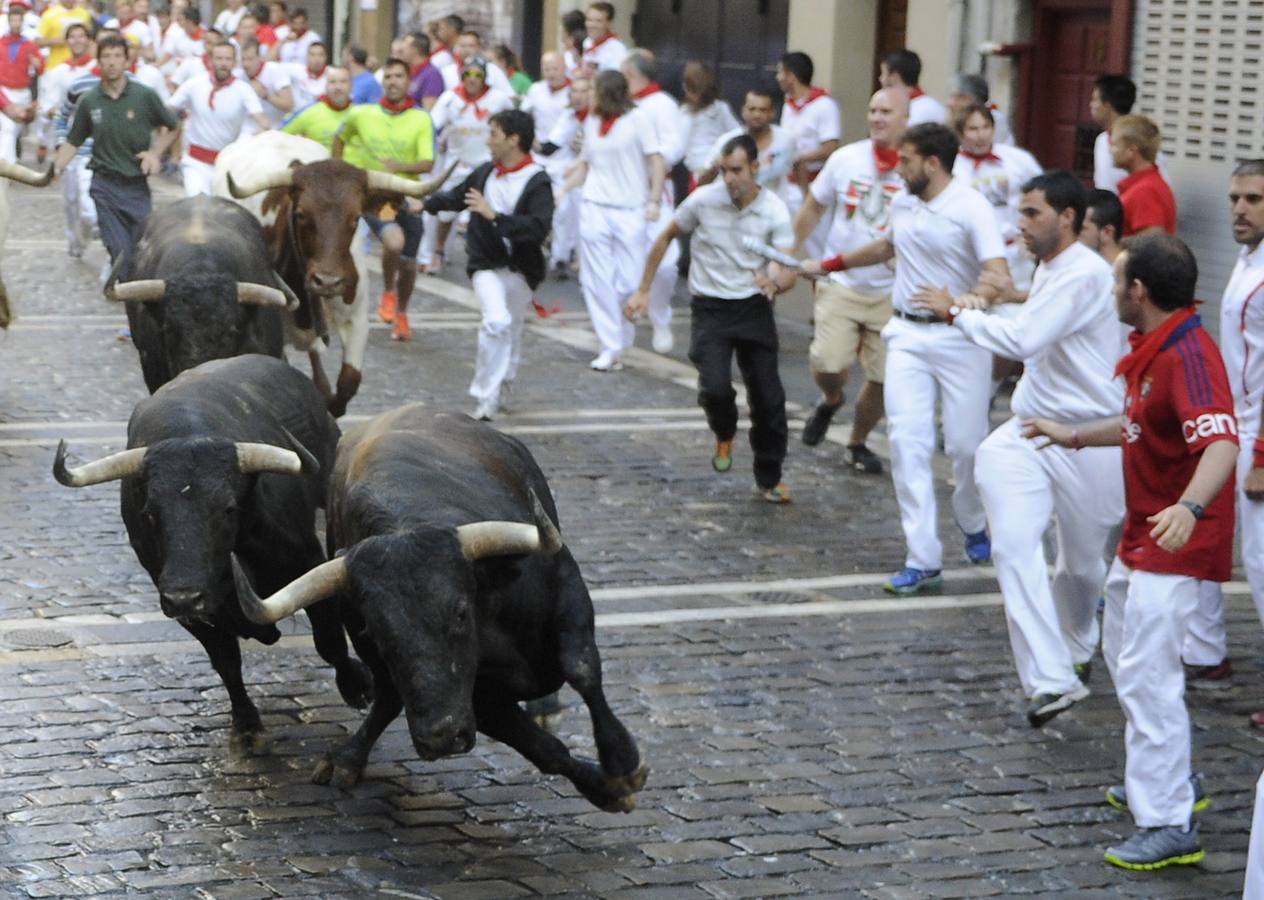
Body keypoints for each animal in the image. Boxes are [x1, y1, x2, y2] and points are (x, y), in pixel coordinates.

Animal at [54, 353, 369, 753]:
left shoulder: (307, 562)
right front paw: (247, 726)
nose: (184, 596)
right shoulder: (191, 610)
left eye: (228, 508)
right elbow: (226, 662)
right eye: (150, 512)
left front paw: (357, 684)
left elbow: (328, 638)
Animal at [217, 130, 449, 417]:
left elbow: (349, 381)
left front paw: (331, 401)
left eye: (356, 217)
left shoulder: (357, 318)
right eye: (300, 214)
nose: (327, 281)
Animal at [232, 404, 647, 814]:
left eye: (460, 612)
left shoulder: (566, 587)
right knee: (388, 697)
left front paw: (622, 766)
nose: (442, 737)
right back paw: (349, 759)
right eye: (376, 632)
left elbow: (582, 669)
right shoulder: (479, 702)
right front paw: (604, 788)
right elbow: (546, 751)